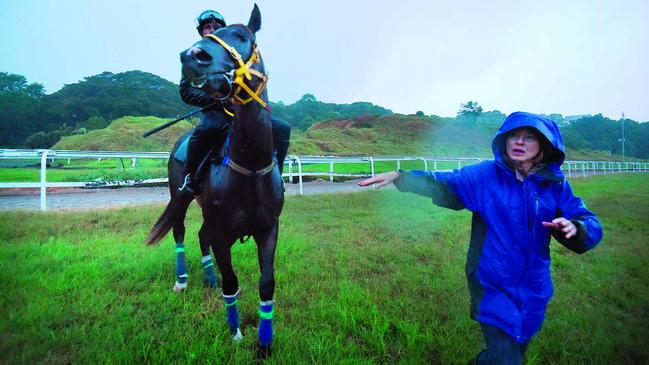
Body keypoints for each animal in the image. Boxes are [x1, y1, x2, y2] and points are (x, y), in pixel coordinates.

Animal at [147, 4, 284, 354]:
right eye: (211, 34)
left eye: (242, 37)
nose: (191, 56)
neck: (249, 168)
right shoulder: (223, 233)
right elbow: (231, 281)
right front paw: (235, 331)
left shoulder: (268, 229)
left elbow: (267, 284)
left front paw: (265, 342)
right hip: (180, 197)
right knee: (181, 231)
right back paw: (182, 280)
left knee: (200, 235)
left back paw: (208, 277)